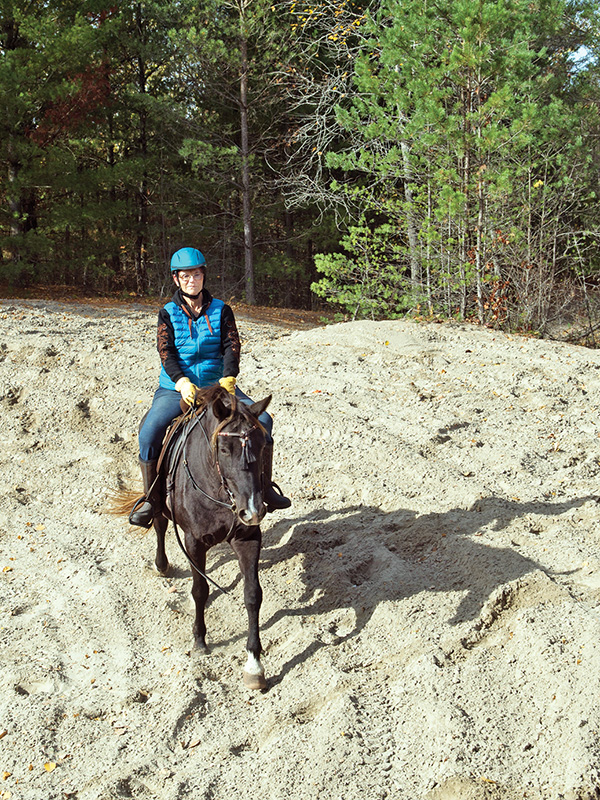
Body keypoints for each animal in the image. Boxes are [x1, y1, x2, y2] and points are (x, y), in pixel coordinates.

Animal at [115, 385, 272, 690]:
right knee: (159, 524)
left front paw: (254, 664)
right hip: (155, 492)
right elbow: (200, 590)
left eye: (263, 445)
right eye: (224, 449)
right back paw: (161, 565)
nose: (252, 510)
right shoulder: (193, 542)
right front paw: (199, 641)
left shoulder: (248, 538)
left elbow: (252, 594)